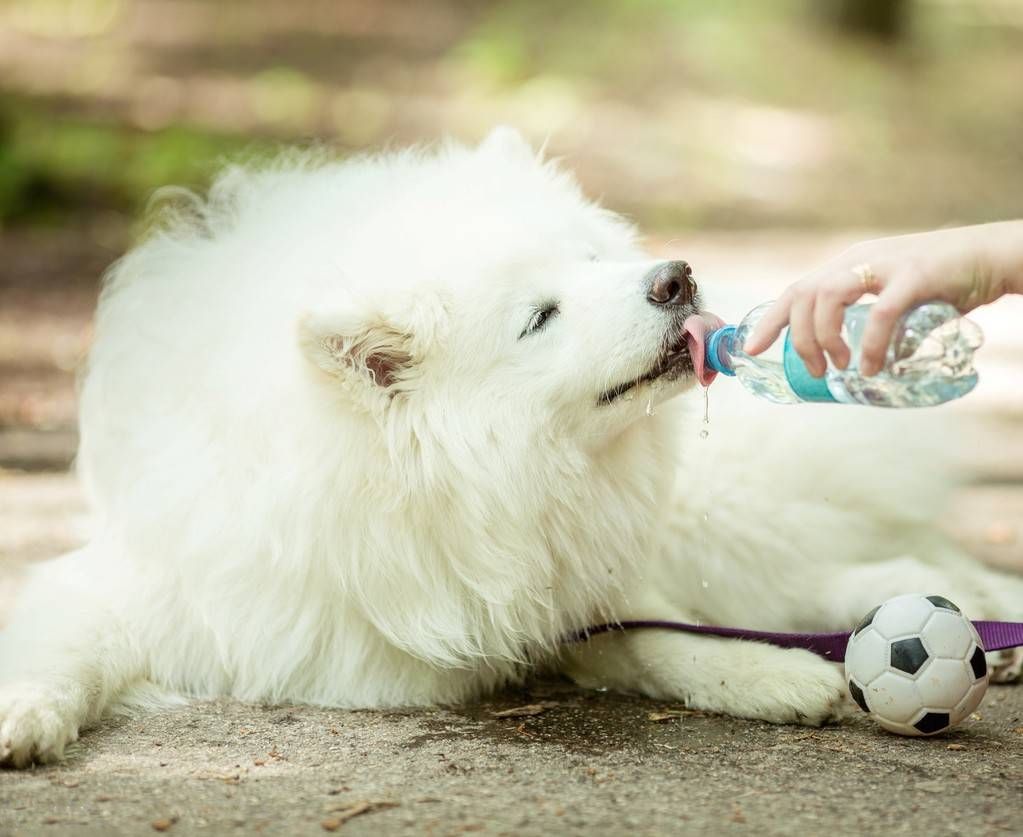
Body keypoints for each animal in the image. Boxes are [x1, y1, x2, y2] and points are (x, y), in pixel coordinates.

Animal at [1, 125, 1023, 761]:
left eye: (591, 259)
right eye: (539, 317)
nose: (675, 276)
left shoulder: (573, 573)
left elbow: (661, 633)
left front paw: (763, 673)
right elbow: (60, 646)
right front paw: (20, 712)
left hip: (721, 508)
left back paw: (977, 612)